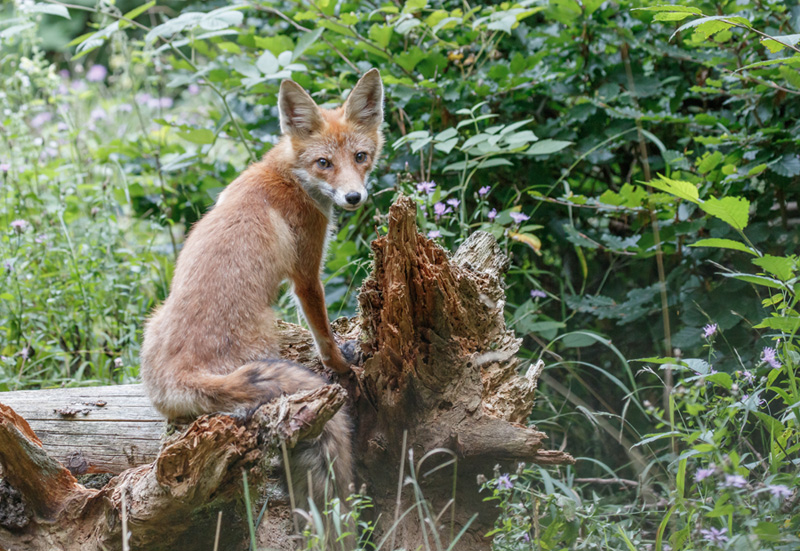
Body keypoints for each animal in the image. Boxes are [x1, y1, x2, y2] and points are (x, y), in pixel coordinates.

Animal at [141, 70, 384, 508]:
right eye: (324, 163)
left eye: (360, 156)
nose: (353, 197)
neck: (289, 174)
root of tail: (180, 374)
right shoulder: (306, 273)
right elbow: (322, 332)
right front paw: (343, 366)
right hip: (266, 330)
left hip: (154, 321)